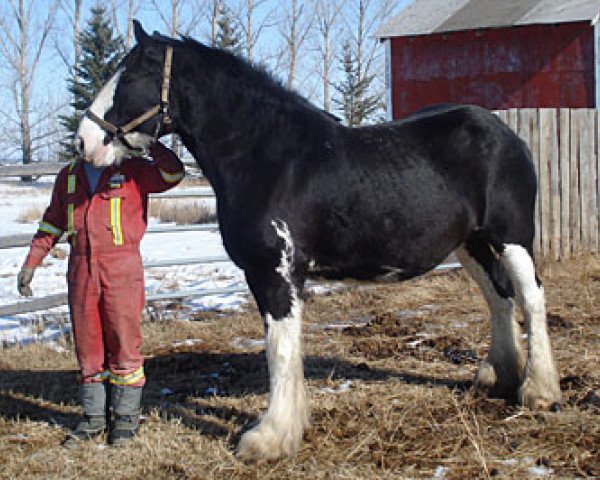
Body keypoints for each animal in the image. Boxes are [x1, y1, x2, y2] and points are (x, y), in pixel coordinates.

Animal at [77, 23, 560, 462]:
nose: (84, 142)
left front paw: (270, 438)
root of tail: (506, 134)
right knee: (499, 297)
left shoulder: (275, 272)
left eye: (130, 77)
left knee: (530, 296)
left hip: (511, 237)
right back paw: (498, 375)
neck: (267, 156)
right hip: (473, 243)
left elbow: (280, 349)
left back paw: (539, 391)